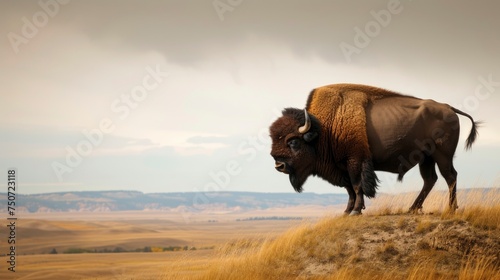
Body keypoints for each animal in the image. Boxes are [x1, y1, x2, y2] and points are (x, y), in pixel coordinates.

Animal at [272, 83, 478, 214]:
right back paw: (412, 208)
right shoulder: (342, 166)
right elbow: (349, 189)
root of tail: (449, 108)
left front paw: (355, 211)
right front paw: (347, 211)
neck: (325, 128)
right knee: (430, 180)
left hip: (442, 155)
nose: (278, 166)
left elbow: (357, 186)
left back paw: (450, 209)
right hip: (426, 158)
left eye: (293, 142)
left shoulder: (355, 161)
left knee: (450, 176)